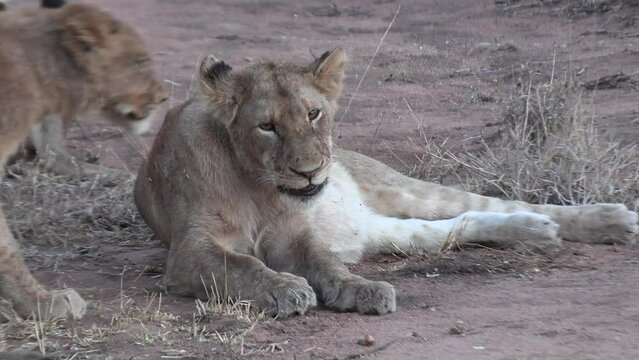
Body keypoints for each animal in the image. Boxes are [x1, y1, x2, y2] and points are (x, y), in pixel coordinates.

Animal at [132, 48, 636, 318]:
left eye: (314, 114)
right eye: (267, 126)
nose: (310, 171)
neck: (258, 185)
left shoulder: (294, 234)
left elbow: (324, 262)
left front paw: (359, 290)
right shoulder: (189, 250)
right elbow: (242, 265)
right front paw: (286, 289)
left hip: (401, 189)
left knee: (494, 202)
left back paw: (608, 220)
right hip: (389, 229)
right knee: (458, 225)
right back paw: (534, 233)